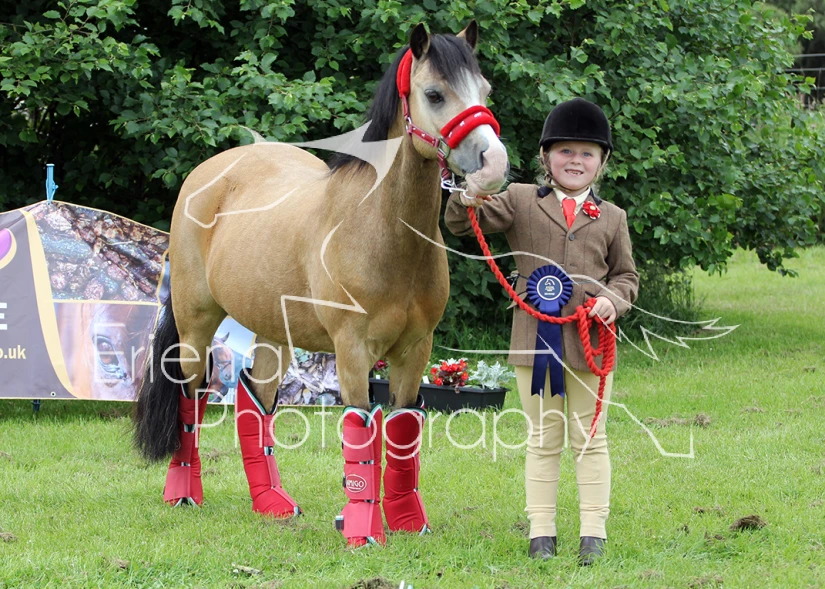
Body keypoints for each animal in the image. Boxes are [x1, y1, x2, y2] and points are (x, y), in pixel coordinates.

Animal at [134, 21, 508, 546]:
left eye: (485, 91)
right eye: (434, 94)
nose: (494, 164)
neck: (380, 230)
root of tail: (209, 173)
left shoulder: (416, 349)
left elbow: (403, 430)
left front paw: (408, 522)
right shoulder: (352, 349)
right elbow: (360, 433)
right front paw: (363, 532)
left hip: (273, 332)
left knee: (256, 402)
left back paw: (271, 503)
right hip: (194, 324)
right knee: (192, 400)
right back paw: (183, 493)